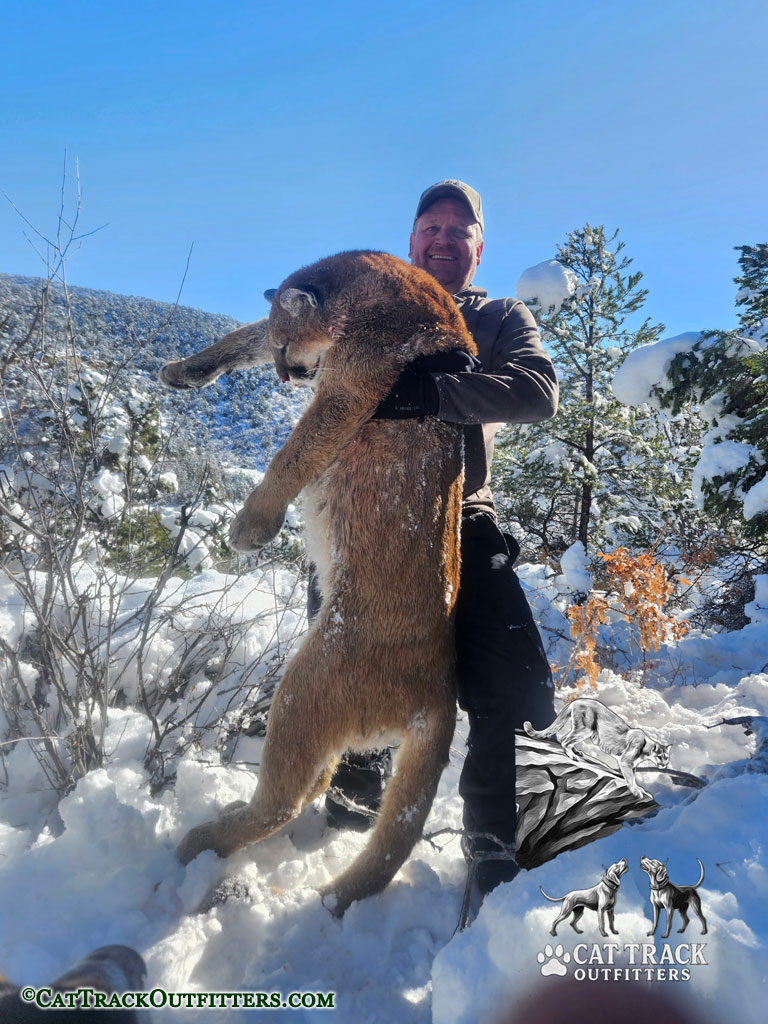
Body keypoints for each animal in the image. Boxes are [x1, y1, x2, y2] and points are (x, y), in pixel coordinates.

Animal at [162, 250, 477, 915]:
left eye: (290, 350)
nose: (287, 377)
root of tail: (442, 690)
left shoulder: (353, 386)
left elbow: (295, 455)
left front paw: (251, 526)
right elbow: (241, 337)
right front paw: (185, 370)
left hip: (305, 688)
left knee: (282, 799)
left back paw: (200, 843)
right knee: (311, 785)